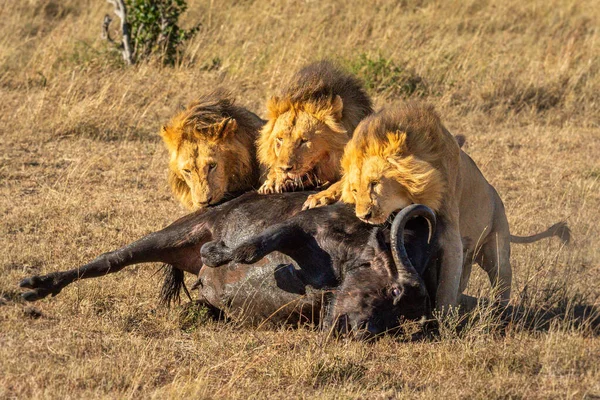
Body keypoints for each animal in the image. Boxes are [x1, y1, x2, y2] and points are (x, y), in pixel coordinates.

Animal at [19, 192, 440, 340]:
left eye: (397, 317)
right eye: (392, 291)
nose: (360, 331)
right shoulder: (304, 224)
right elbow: (252, 248)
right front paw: (218, 252)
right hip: (174, 233)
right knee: (111, 260)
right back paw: (37, 286)